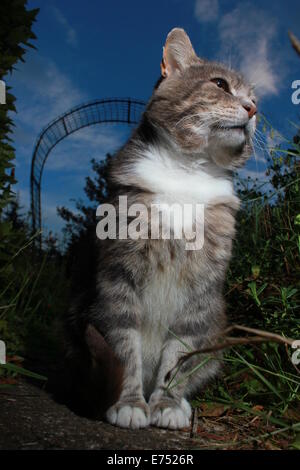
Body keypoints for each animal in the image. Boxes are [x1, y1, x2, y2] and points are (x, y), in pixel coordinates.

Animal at [64, 26, 256, 430]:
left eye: (254, 98)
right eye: (219, 84)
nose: (253, 109)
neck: (187, 173)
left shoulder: (201, 290)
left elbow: (179, 356)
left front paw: (166, 403)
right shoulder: (118, 275)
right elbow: (124, 346)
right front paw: (129, 404)